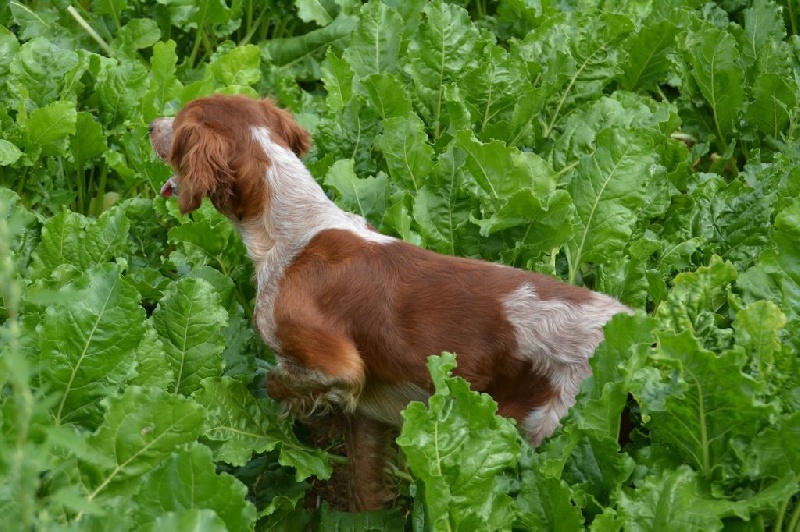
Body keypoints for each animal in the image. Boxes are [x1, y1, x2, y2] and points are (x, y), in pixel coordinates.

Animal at [150, 94, 632, 512]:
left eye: (180, 124)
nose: (152, 124)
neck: (295, 230)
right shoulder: (369, 419)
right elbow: (364, 482)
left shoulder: (338, 366)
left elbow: (278, 380)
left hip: (549, 430)